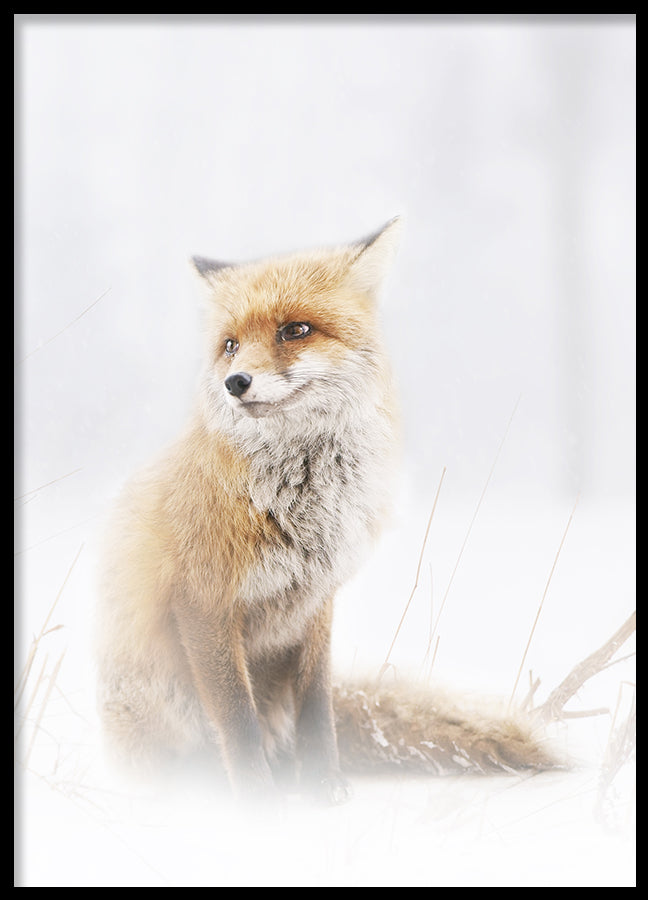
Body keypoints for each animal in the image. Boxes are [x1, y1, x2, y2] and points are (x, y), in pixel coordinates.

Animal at [96, 219, 559, 805]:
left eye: (295, 330)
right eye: (230, 346)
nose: (235, 383)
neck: (303, 508)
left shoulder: (317, 599)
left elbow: (316, 703)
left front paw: (323, 784)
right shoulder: (202, 600)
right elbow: (237, 717)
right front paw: (257, 803)